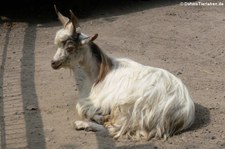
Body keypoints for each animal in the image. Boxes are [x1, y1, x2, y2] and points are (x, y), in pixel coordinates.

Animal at [51, 5, 195, 140]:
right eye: (57, 45)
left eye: (70, 47)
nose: (53, 63)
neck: (96, 75)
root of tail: (184, 112)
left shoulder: (98, 101)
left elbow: (82, 108)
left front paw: (97, 117)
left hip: (129, 109)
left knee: (114, 129)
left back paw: (83, 123)